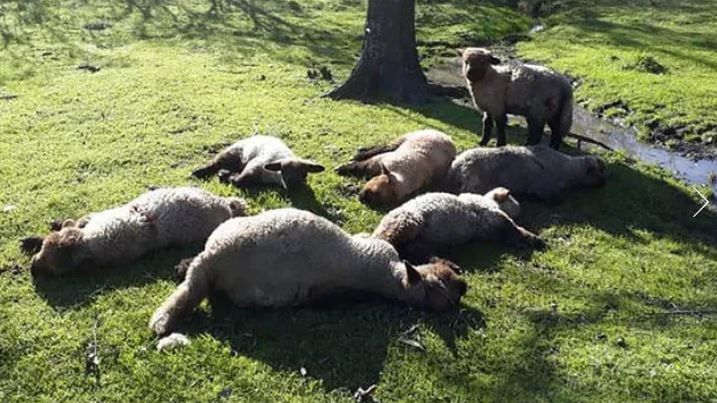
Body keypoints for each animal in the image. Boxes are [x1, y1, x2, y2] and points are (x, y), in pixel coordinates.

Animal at [21, 187, 248, 277]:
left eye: (55, 268)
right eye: (43, 250)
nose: (33, 267)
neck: (91, 240)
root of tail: (226, 205)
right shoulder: (90, 220)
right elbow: (73, 223)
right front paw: (33, 239)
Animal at [192, 135, 325, 191]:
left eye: (305, 173)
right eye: (283, 171)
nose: (294, 186)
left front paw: (225, 175)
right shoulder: (253, 167)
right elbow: (238, 181)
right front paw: (227, 177)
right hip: (232, 152)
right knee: (215, 164)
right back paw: (198, 172)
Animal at [372, 188, 545, 262]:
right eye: (512, 198)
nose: (521, 208)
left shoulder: (491, 229)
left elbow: (511, 231)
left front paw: (522, 241)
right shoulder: (494, 215)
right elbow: (514, 226)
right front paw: (535, 240)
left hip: (416, 239)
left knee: (413, 251)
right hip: (407, 222)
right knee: (388, 242)